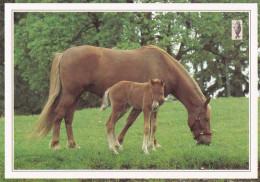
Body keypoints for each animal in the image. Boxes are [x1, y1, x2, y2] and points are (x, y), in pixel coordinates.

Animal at [30, 44, 212, 149]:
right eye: (206, 118)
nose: (207, 141)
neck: (163, 65)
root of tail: (64, 54)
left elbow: (152, 124)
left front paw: (153, 144)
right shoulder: (143, 104)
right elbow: (132, 121)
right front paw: (120, 141)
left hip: (76, 96)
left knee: (68, 118)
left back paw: (73, 145)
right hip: (70, 94)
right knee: (58, 114)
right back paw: (56, 144)